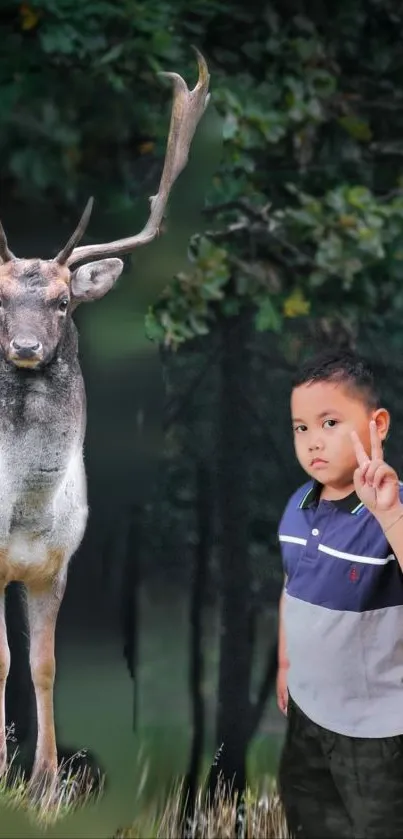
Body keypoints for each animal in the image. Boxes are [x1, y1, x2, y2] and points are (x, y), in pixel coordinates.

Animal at [0, 49, 211, 796]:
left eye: (64, 301)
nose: (24, 346)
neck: (24, 511)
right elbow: (2, 661)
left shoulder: (56, 562)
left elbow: (43, 664)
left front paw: (43, 780)